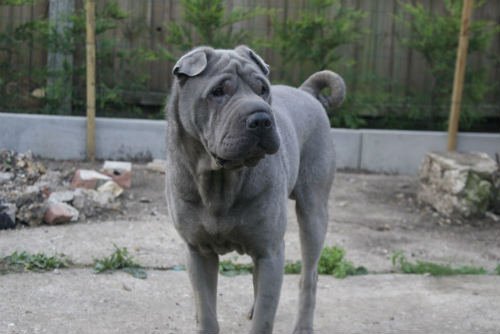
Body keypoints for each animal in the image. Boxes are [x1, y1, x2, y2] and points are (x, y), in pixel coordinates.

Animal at [166, 45, 346, 334]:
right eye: (218, 91)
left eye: (262, 88)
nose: (261, 118)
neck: (221, 181)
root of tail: (306, 92)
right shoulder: (198, 251)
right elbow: (206, 310)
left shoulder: (270, 251)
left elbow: (265, 317)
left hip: (313, 212)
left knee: (309, 276)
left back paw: (303, 326)